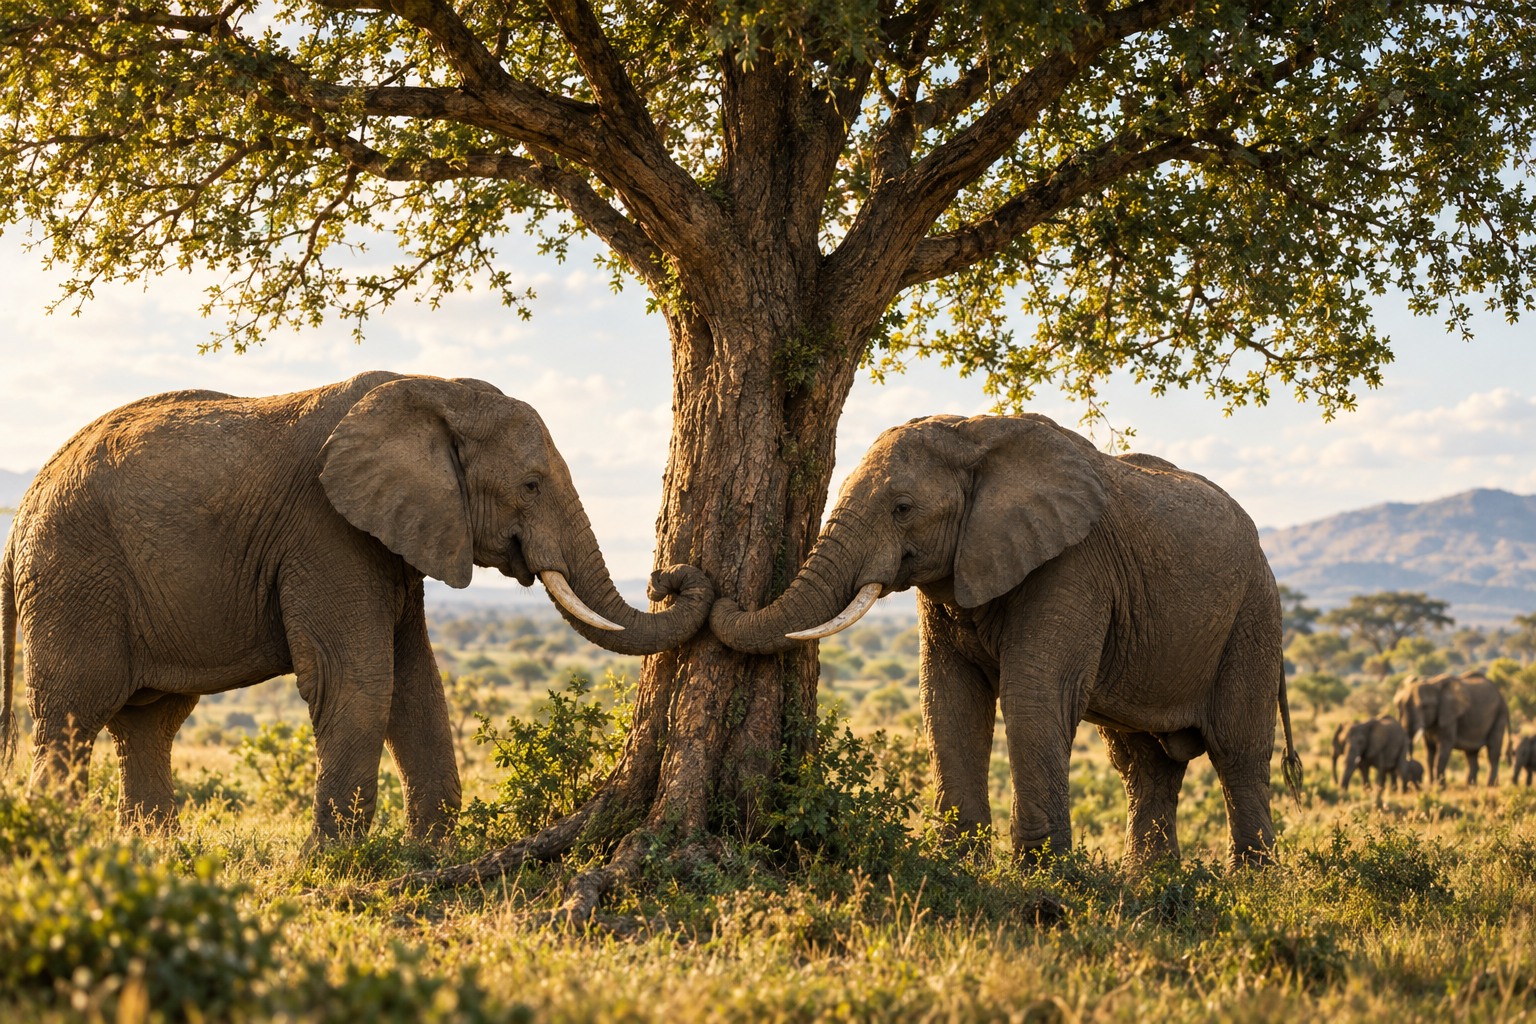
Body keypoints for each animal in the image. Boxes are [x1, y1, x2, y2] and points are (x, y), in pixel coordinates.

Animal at [0, 371, 714, 839]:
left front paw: (431, 855)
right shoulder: (328, 531)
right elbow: (359, 680)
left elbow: (417, 686)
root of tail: (24, 505)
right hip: (73, 575)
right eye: (532, 485)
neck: (433, 391)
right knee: (74, 716)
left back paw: (150, 857)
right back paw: (61, 848)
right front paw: (335, 863)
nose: (674, 578)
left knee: (149, 724)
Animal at [710, 413, 1301, 867]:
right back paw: (1151, 883)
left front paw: (1043, 878)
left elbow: (1033, 696)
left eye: (902, 508)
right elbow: (948, 698)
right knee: (1144, 764)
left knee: (1237, 751)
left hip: (1254, 617)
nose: (713, 593)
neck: (974, 434)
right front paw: (958, 866)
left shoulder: (1074, 564)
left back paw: (1253, 885)